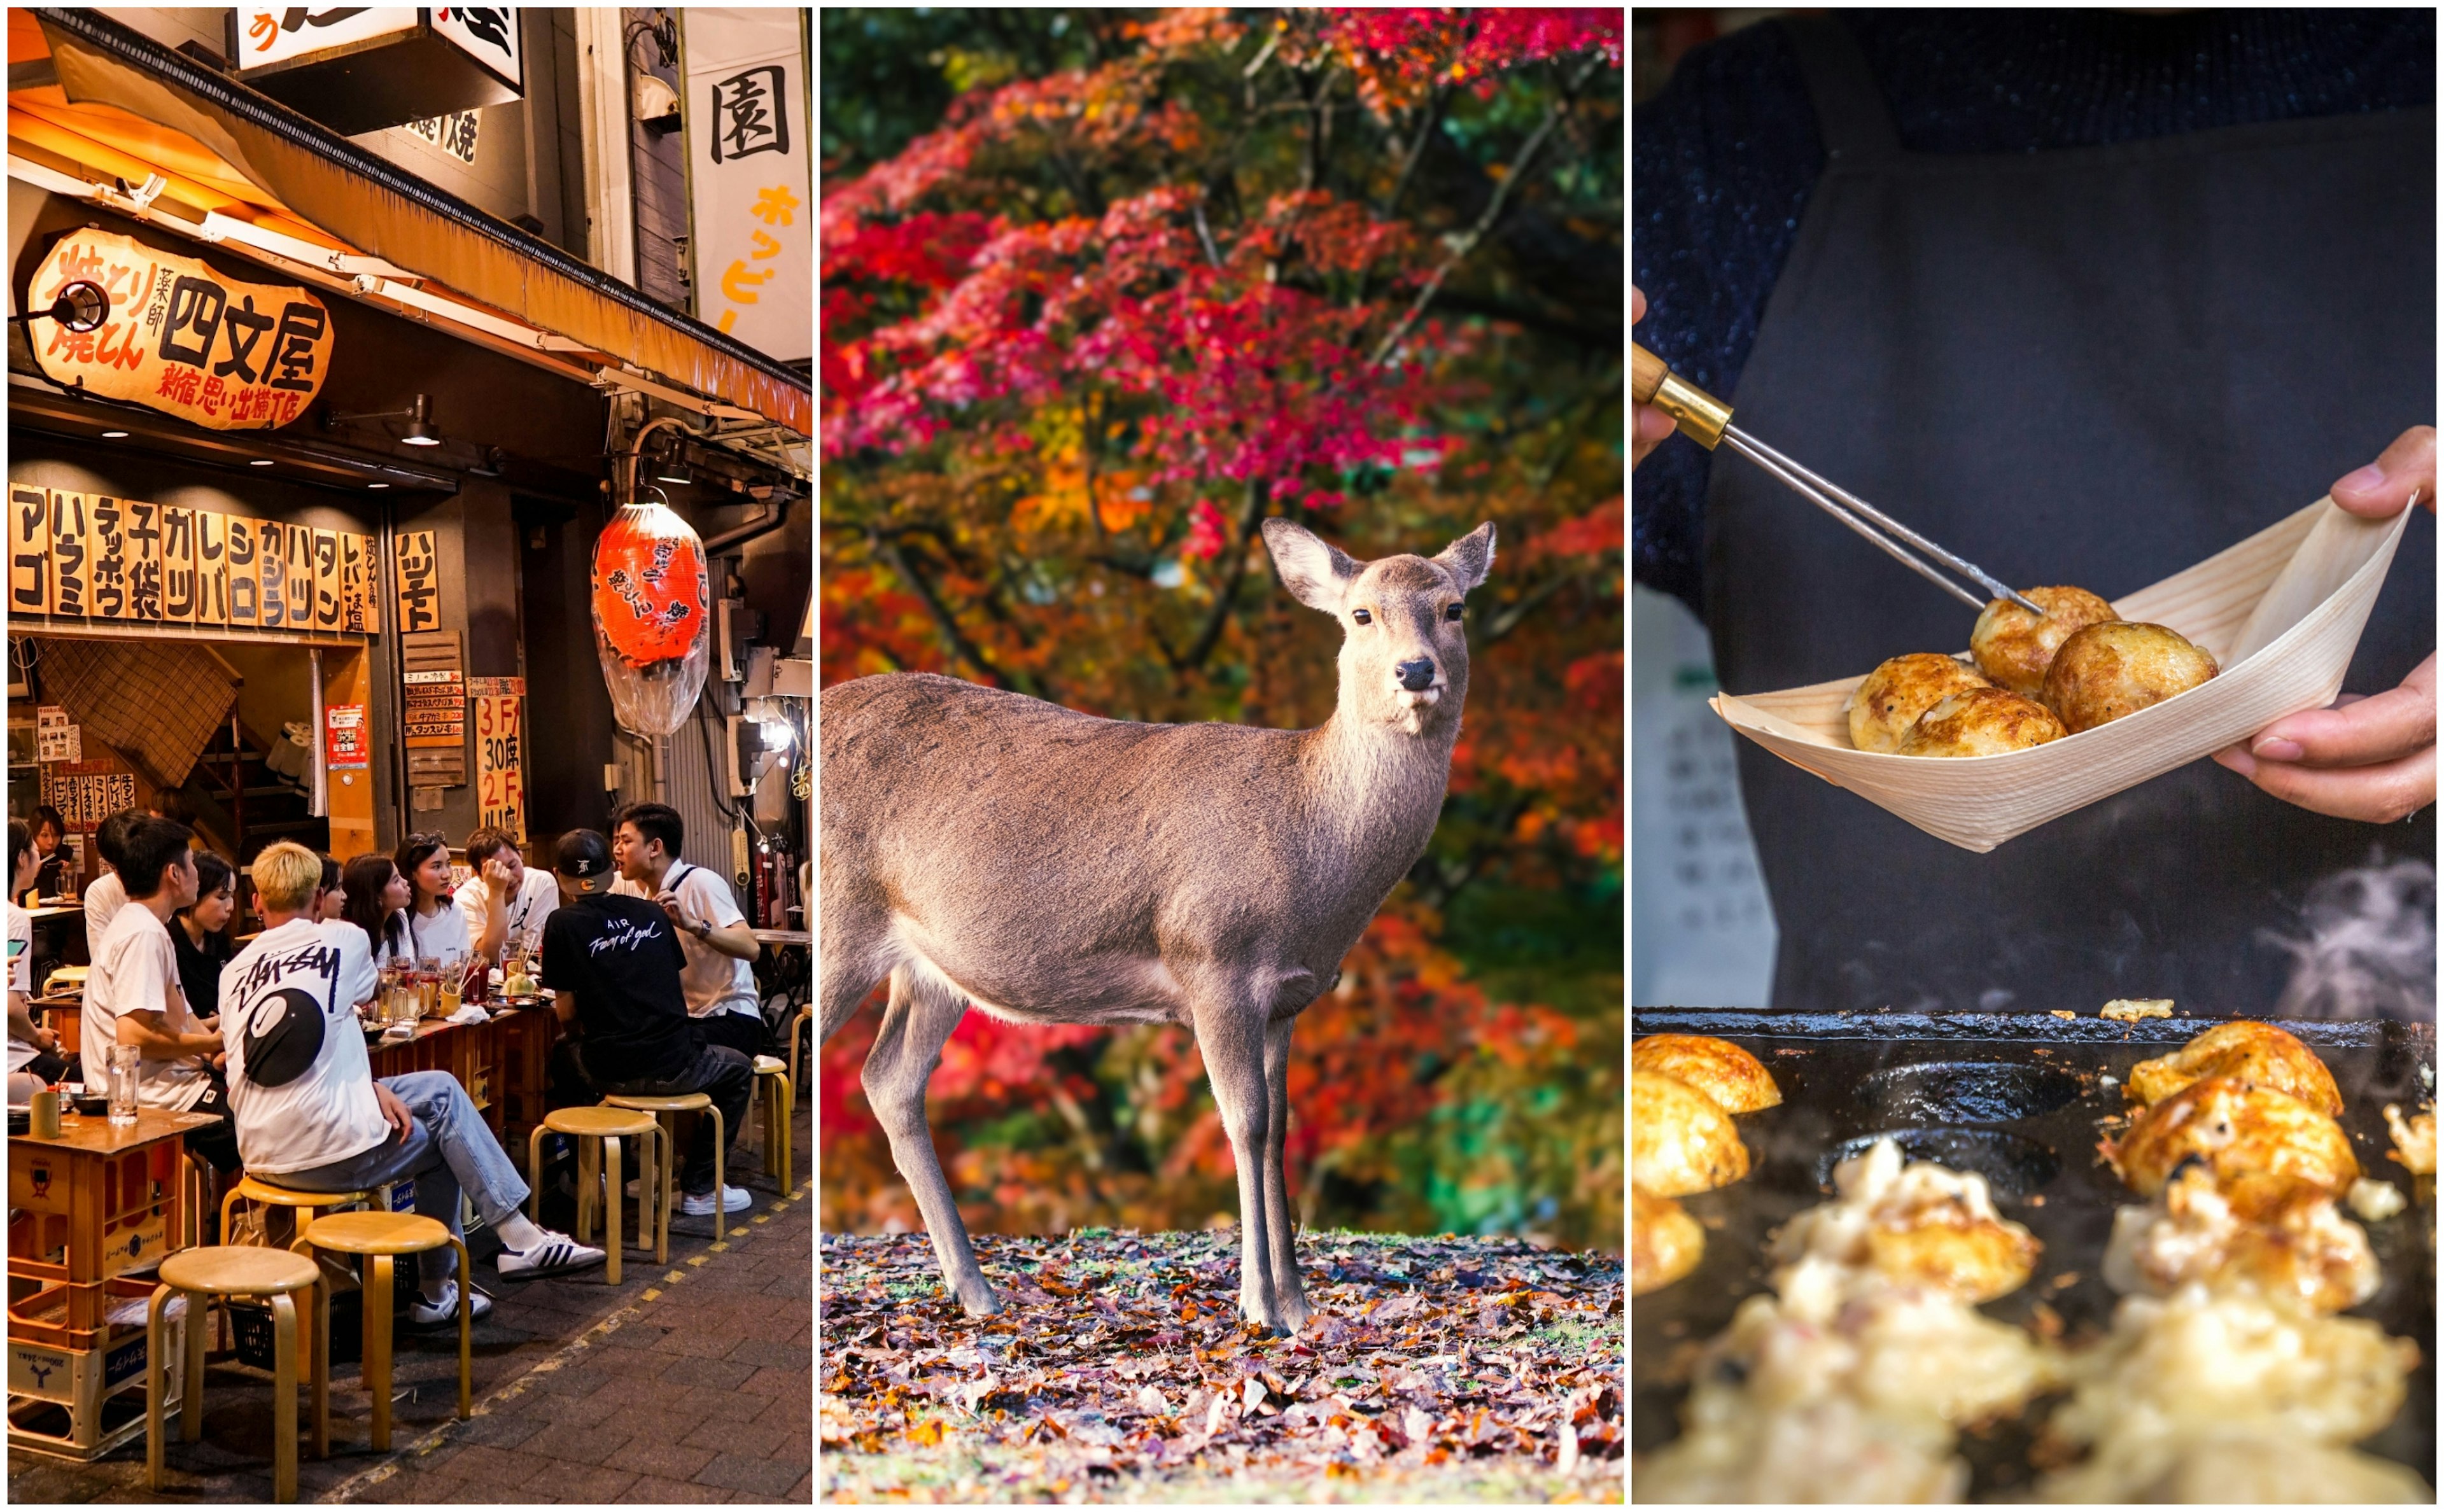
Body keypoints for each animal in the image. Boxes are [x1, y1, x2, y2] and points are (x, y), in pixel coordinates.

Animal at [816, 520, 1485, 1338]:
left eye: (1454, 608)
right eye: (1361, 614)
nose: (1416, 670)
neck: (1313, 853)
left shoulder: (1287, 999)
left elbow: (1280, 1128)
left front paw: (1298, 1303)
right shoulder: (1214, 960)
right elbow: (1246, 1123)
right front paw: (1260, 1304)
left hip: (933, 969)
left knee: (890, 1081)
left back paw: (977, 1291)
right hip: (840, 917)